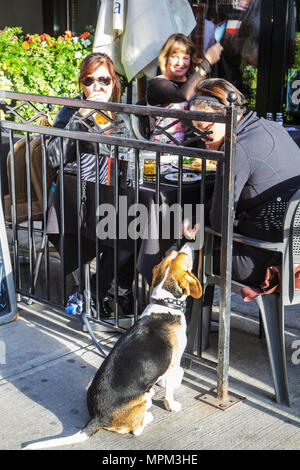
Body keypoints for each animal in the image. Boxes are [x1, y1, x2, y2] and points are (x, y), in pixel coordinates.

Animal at [24, 242, 202, 448]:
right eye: (183, 257)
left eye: (175, 254)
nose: (188, 242)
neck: (165, 305)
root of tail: (98, 418)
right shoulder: (173, 363)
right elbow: (169, 391)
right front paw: (171, 405)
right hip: (143, 399)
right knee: (136, 429)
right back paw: (148, 417)